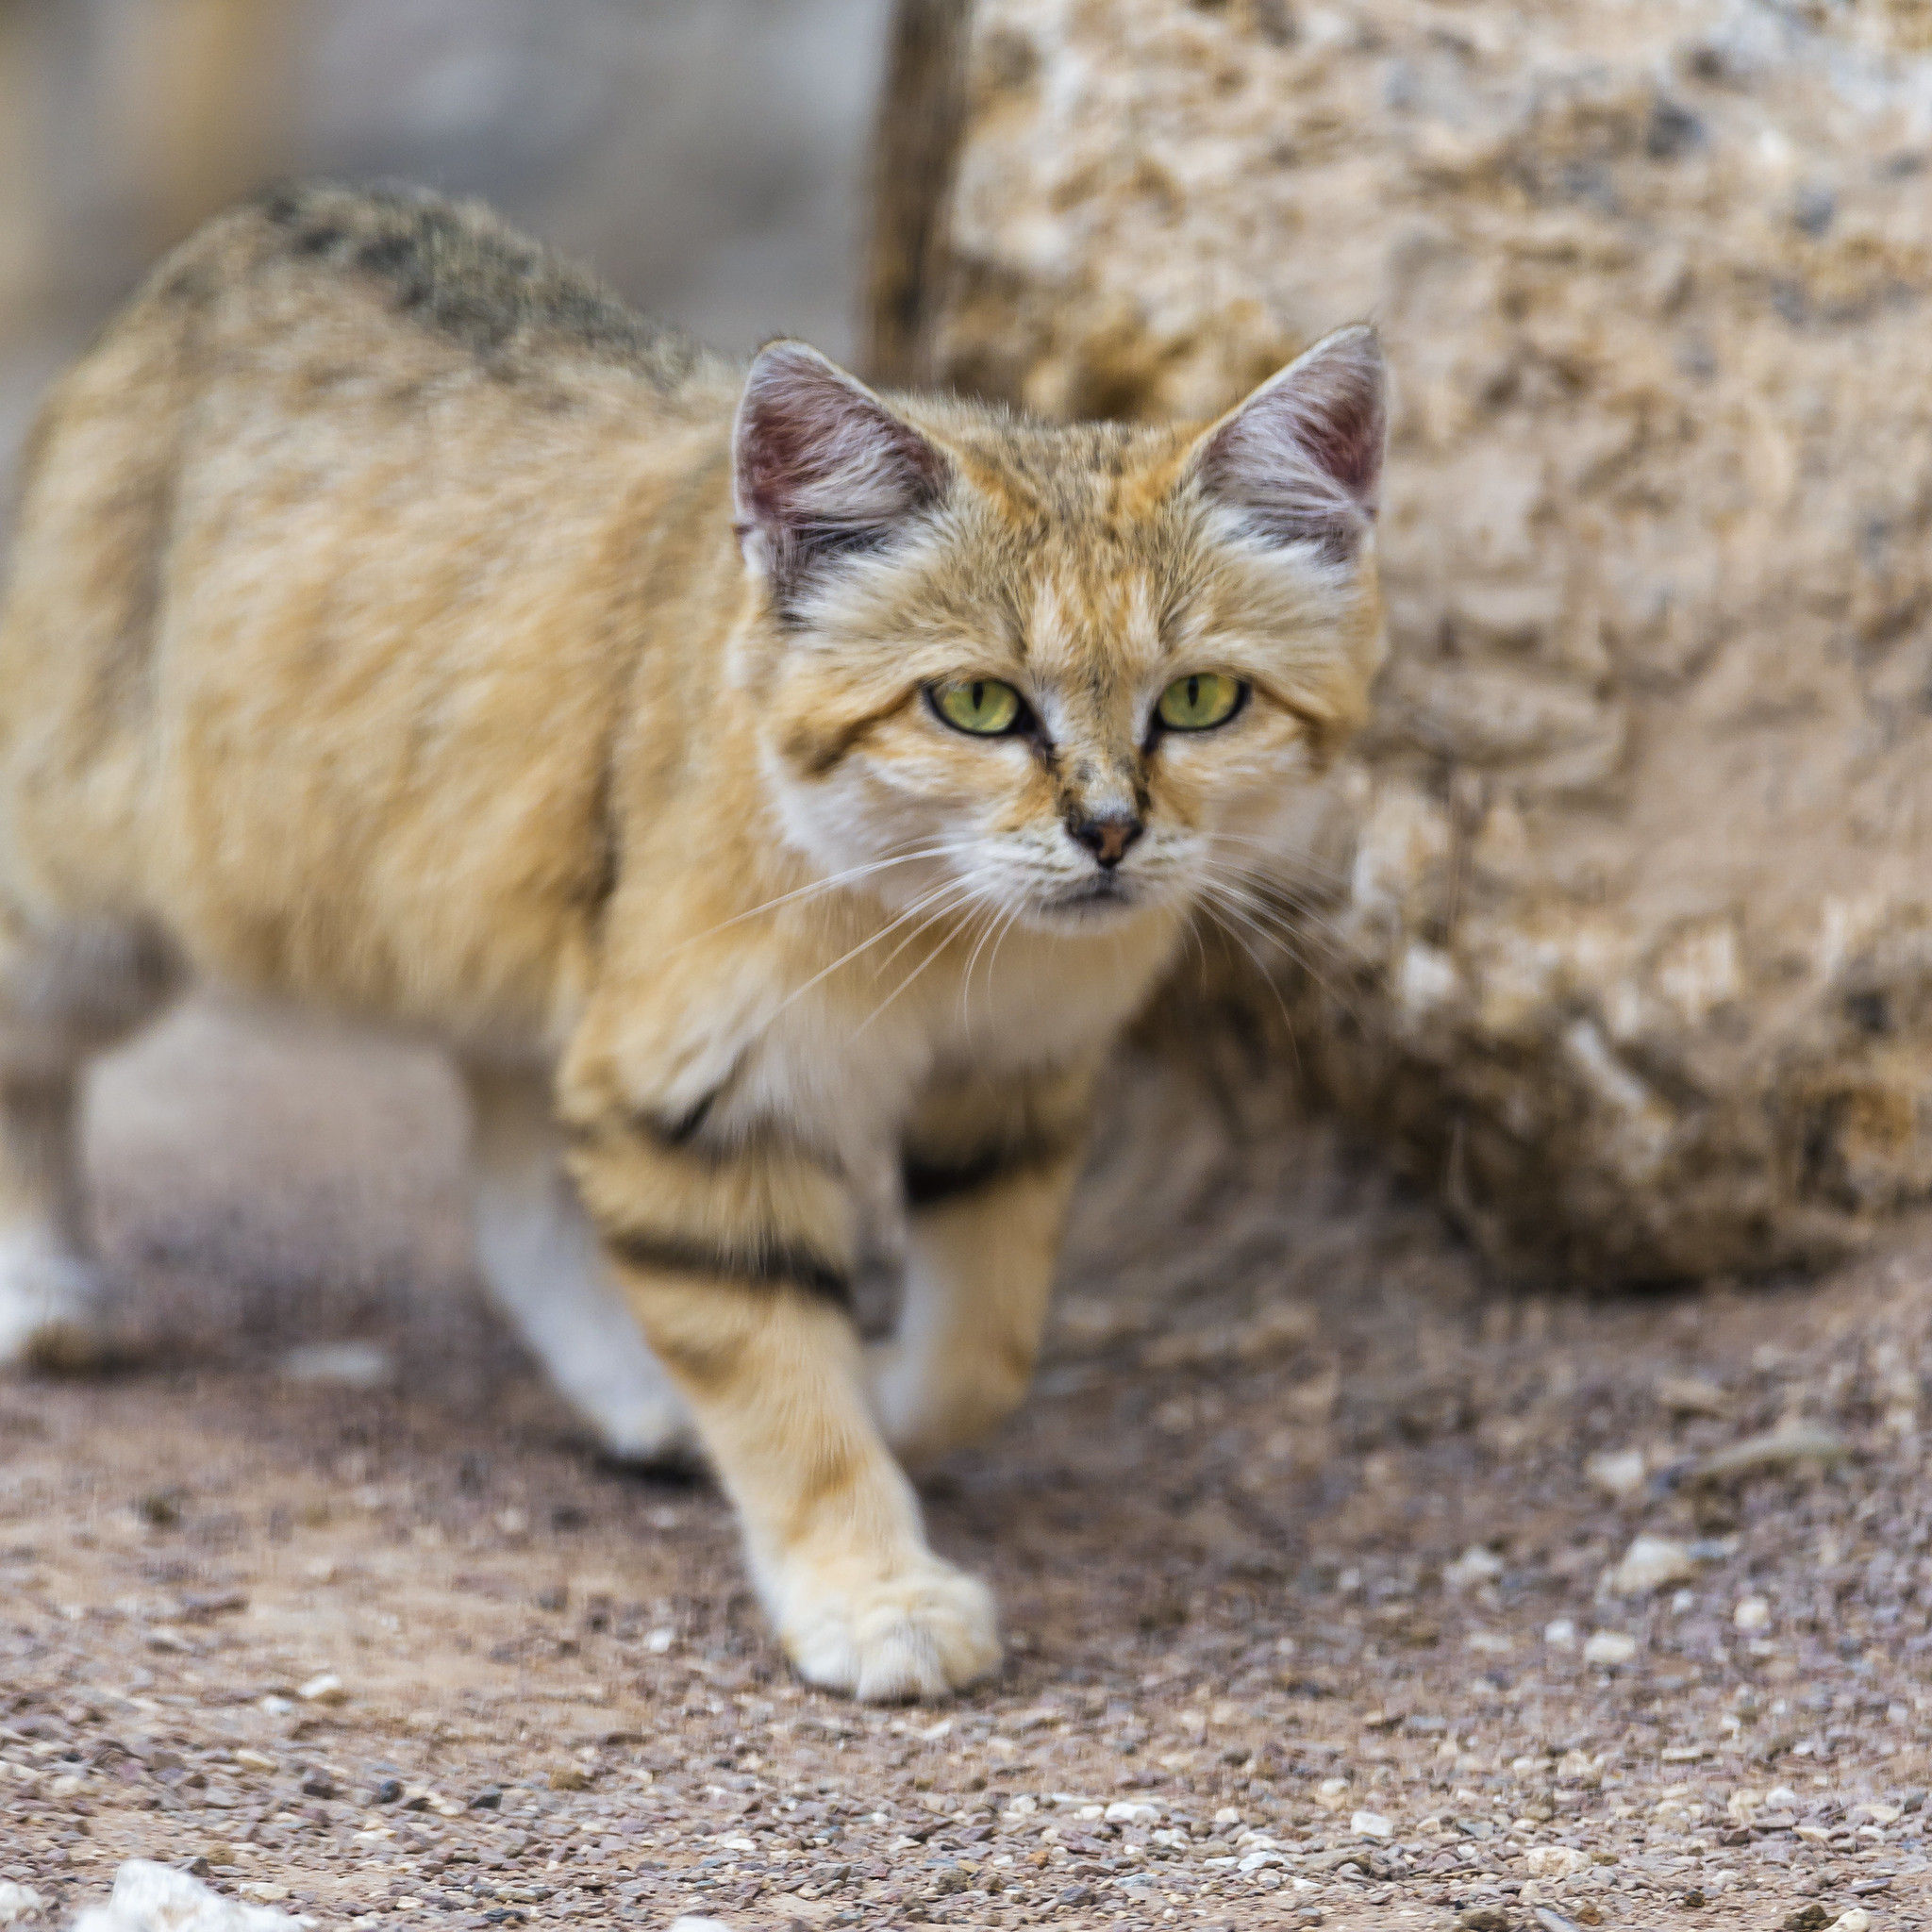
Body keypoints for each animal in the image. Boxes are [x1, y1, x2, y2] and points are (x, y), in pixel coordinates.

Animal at [0, 181, 1391, 1692]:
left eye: (1199, 699)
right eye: (973, 704)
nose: (1111, 832)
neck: (945, 935)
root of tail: (251, 224)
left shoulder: (1008, 1079)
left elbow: (984, 1347)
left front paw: (884, 1400)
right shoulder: (698, 1093)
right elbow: (783, 1382)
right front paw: (870, 1587)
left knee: (514, 1198)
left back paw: (637, 1394)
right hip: (89, 917)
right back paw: (42, 1290)